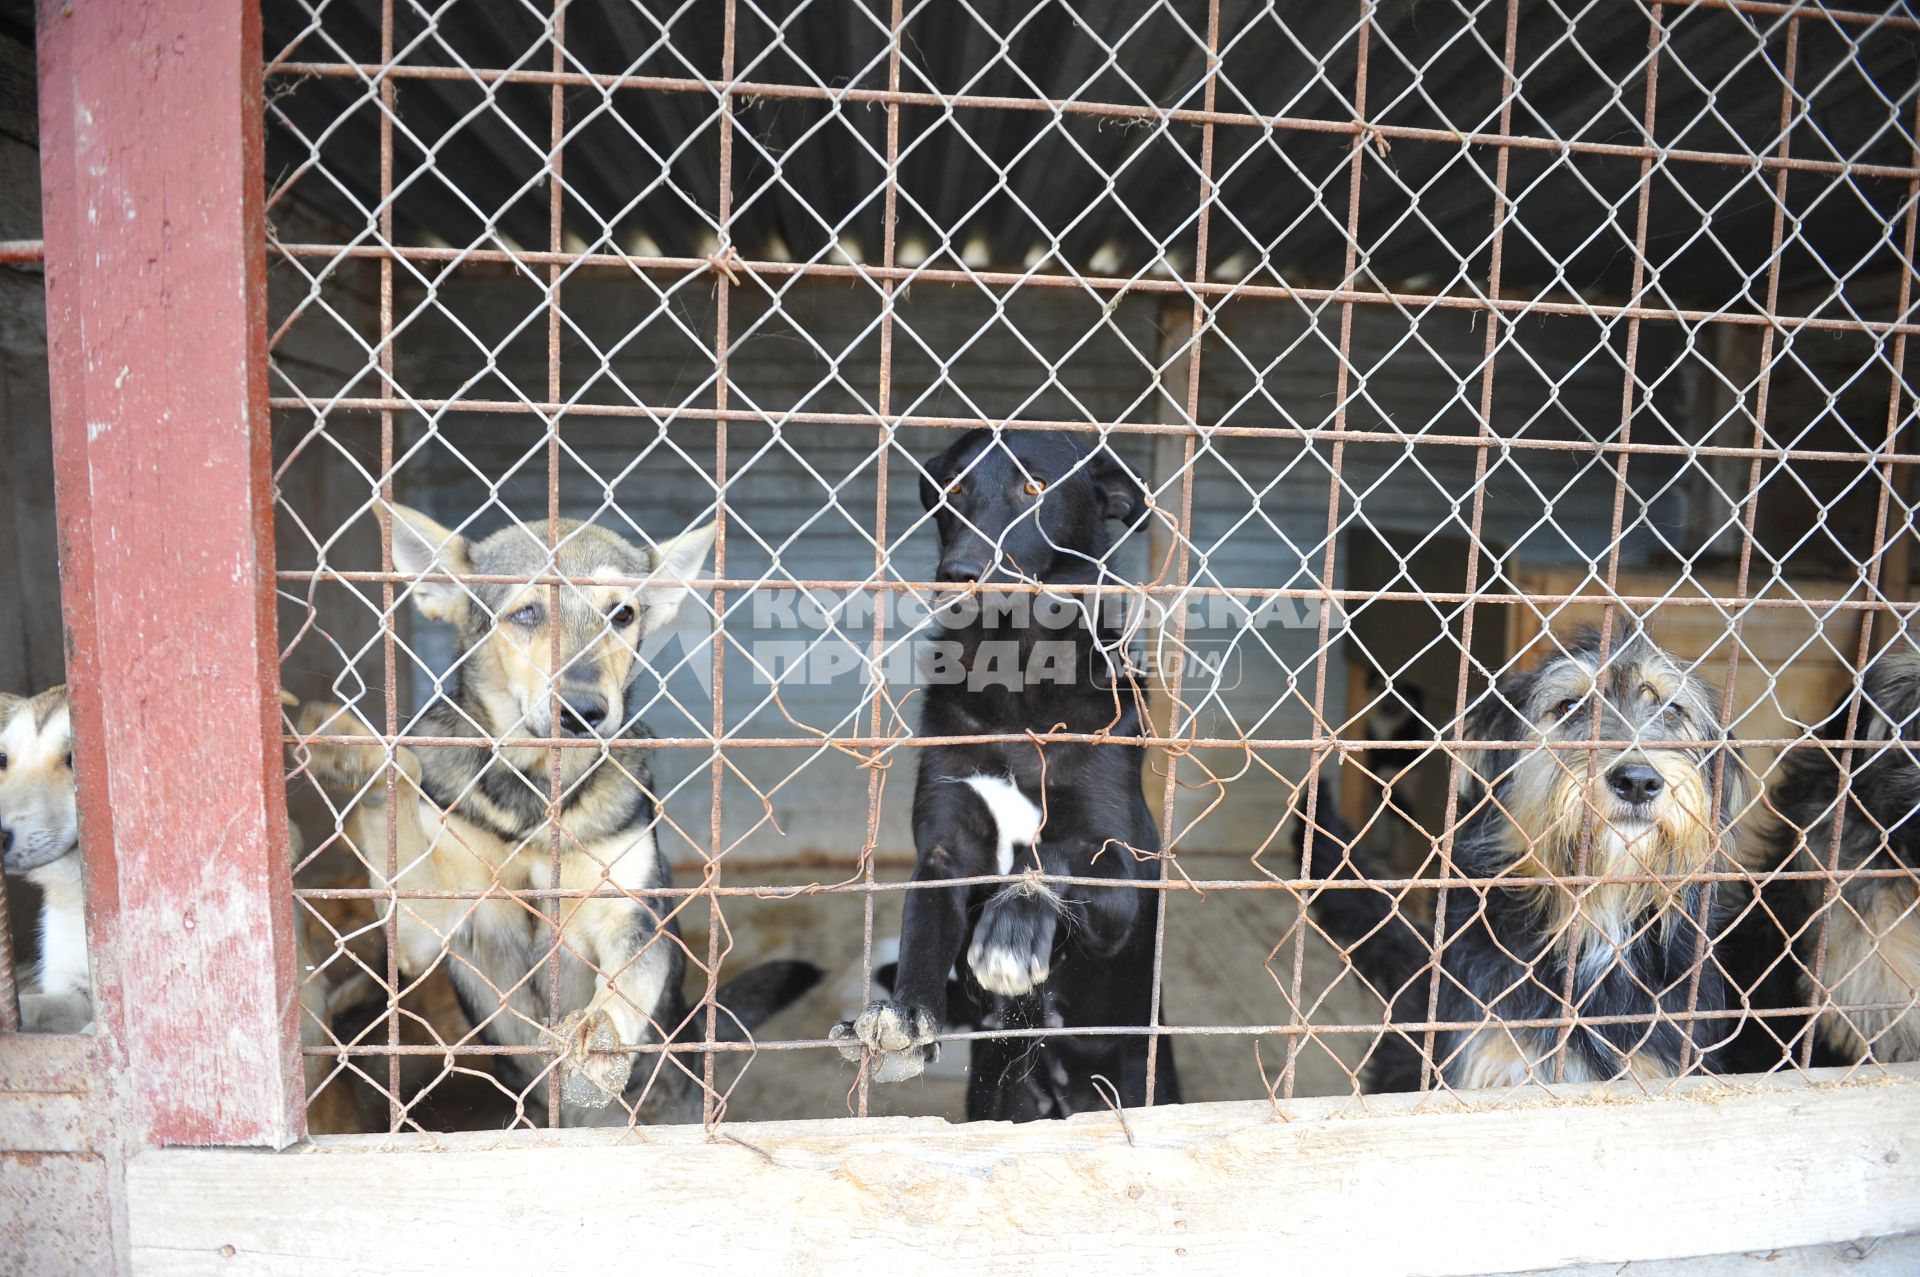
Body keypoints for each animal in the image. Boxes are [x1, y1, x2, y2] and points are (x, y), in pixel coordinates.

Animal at [301, 503, 817, 1121]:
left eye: (622, 613)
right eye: (526, 611)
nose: (584, 711)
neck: (533, 792)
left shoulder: (630, 915)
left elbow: (621, 989)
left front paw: (598, 1043)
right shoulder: (430, 926)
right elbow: (397, 794)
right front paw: (355, 755)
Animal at [833, 426, 1175, 1113]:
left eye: (1035, 486)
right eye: (953, 489)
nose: (958, 574)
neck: (1016, 675)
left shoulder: (1118, 867)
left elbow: (1054, 857)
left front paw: (1012, 927)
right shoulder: (945, 845)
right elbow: (924, 927)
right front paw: (907, 1012)